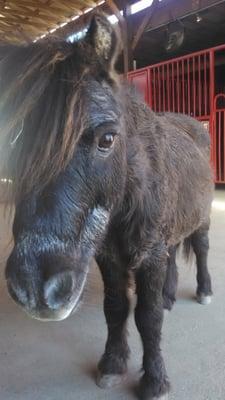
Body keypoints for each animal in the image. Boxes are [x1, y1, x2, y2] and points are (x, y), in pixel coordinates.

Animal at [0, 14, 214, 400]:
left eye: (107, 138)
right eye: (11, 142)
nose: (35, 289)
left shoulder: (149, 253)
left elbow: (147, 316)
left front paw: (154, 381)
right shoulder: (108, 256)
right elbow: (115, 308)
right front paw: (112, 364)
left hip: (201, 220)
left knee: (201, 250)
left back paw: (203, 291)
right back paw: (169, 295)